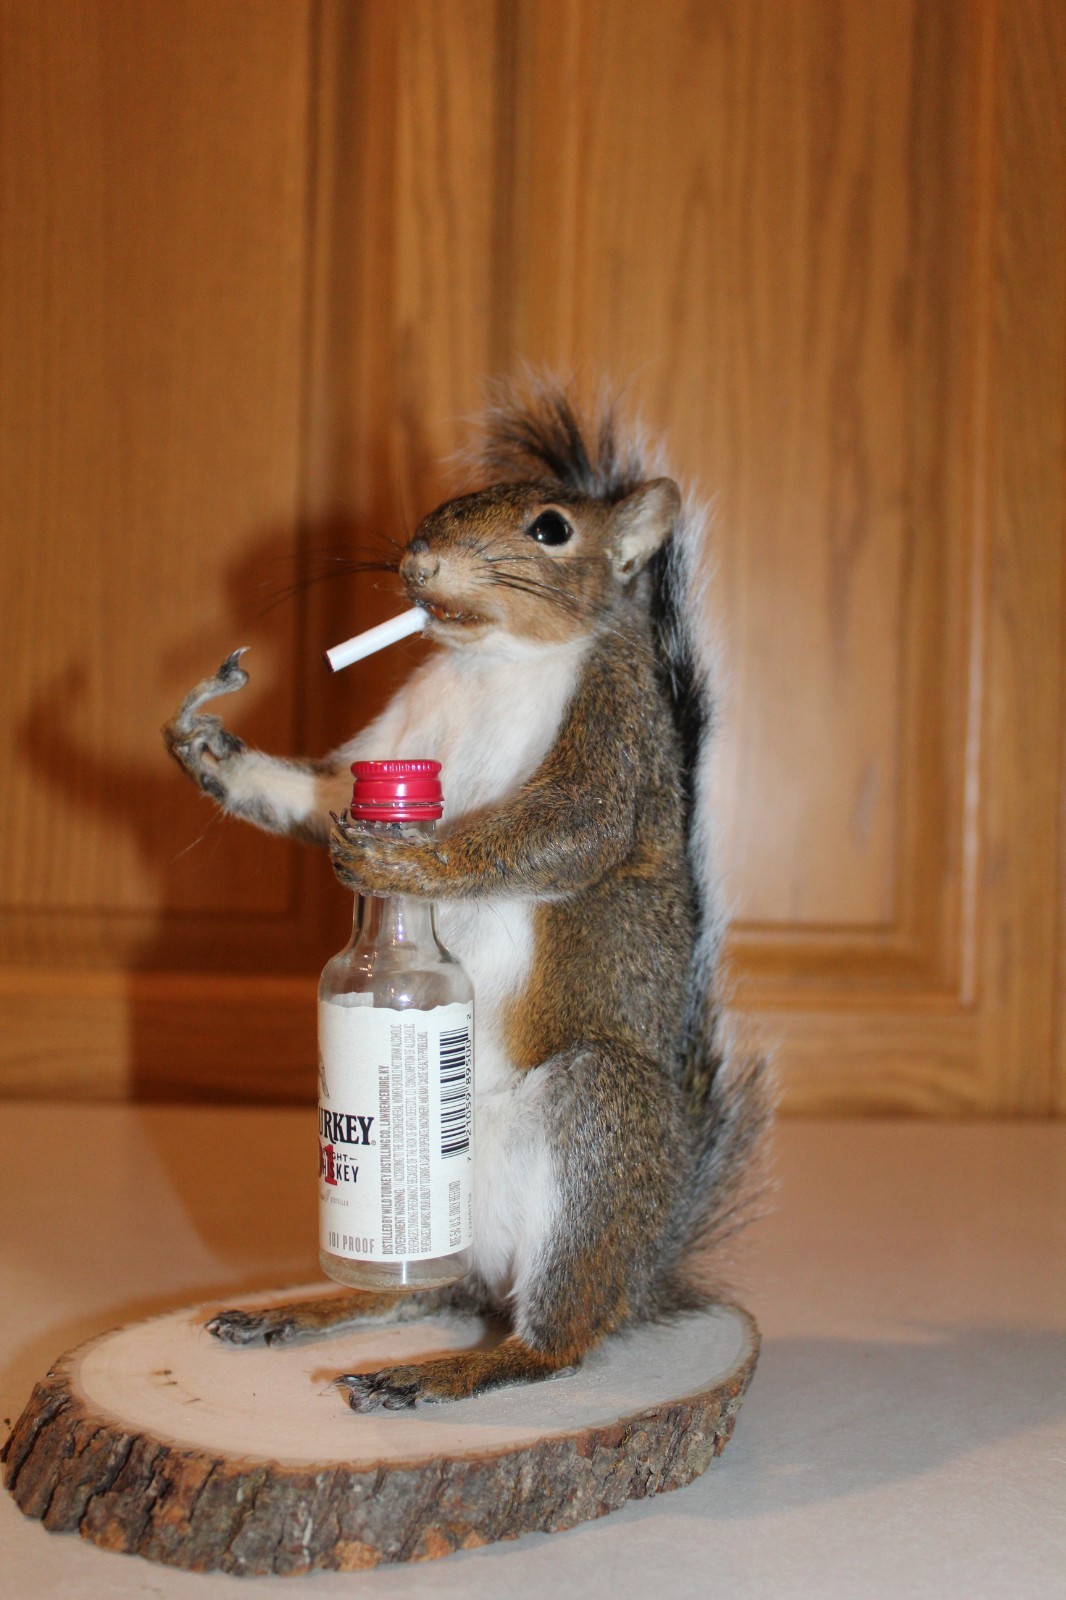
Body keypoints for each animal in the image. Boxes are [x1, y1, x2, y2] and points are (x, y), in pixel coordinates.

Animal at [163, 378, 770, 1412]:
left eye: (553, 528)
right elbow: (319, 798)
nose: (418, 564)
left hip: (598, 1132)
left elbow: (562, 832)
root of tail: (649, 1268)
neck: (493, 662)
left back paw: (458, 1368)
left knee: (552, 1339)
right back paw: (316, 1310)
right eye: (440, 508)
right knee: (419, 1291)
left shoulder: (614, 741)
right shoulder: (391, 745)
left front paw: (409, 870)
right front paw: (209, 747)